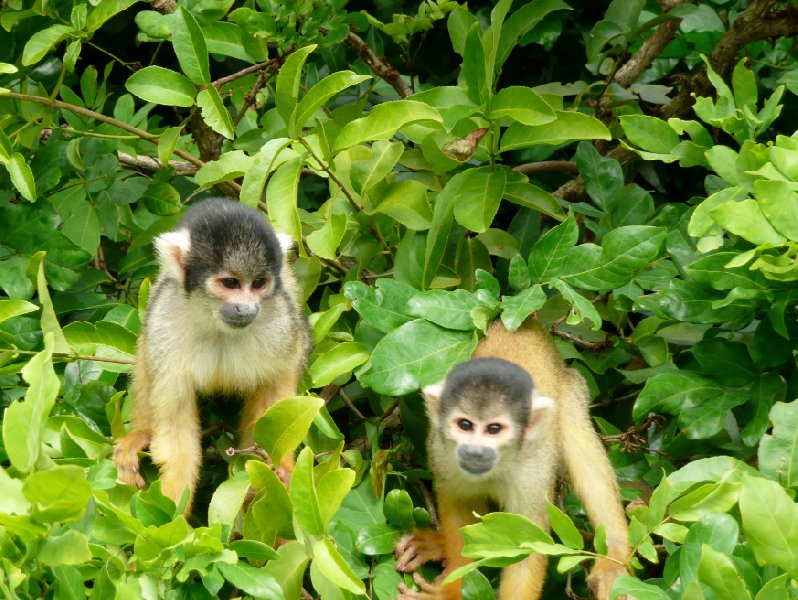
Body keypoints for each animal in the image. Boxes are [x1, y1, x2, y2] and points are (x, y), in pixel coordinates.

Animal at [112, 197, 310, 510]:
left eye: (258, 283)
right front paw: (171, 512)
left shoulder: (282, 324)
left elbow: (275, 397)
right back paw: (141, 434)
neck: (218, 324)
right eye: (230, 283)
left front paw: (280, 471)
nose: (247, 308)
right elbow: (176, 429)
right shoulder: (165, 324)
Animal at [396, 322, 628, 596]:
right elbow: (460, 509)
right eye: (465, 425)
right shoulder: (442, 453)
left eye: (494, 429)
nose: (475, 451)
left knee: (581, 447)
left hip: (572, 391)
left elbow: (527, 548)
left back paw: (613, 558)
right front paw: (452, 591)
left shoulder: (533, 476)